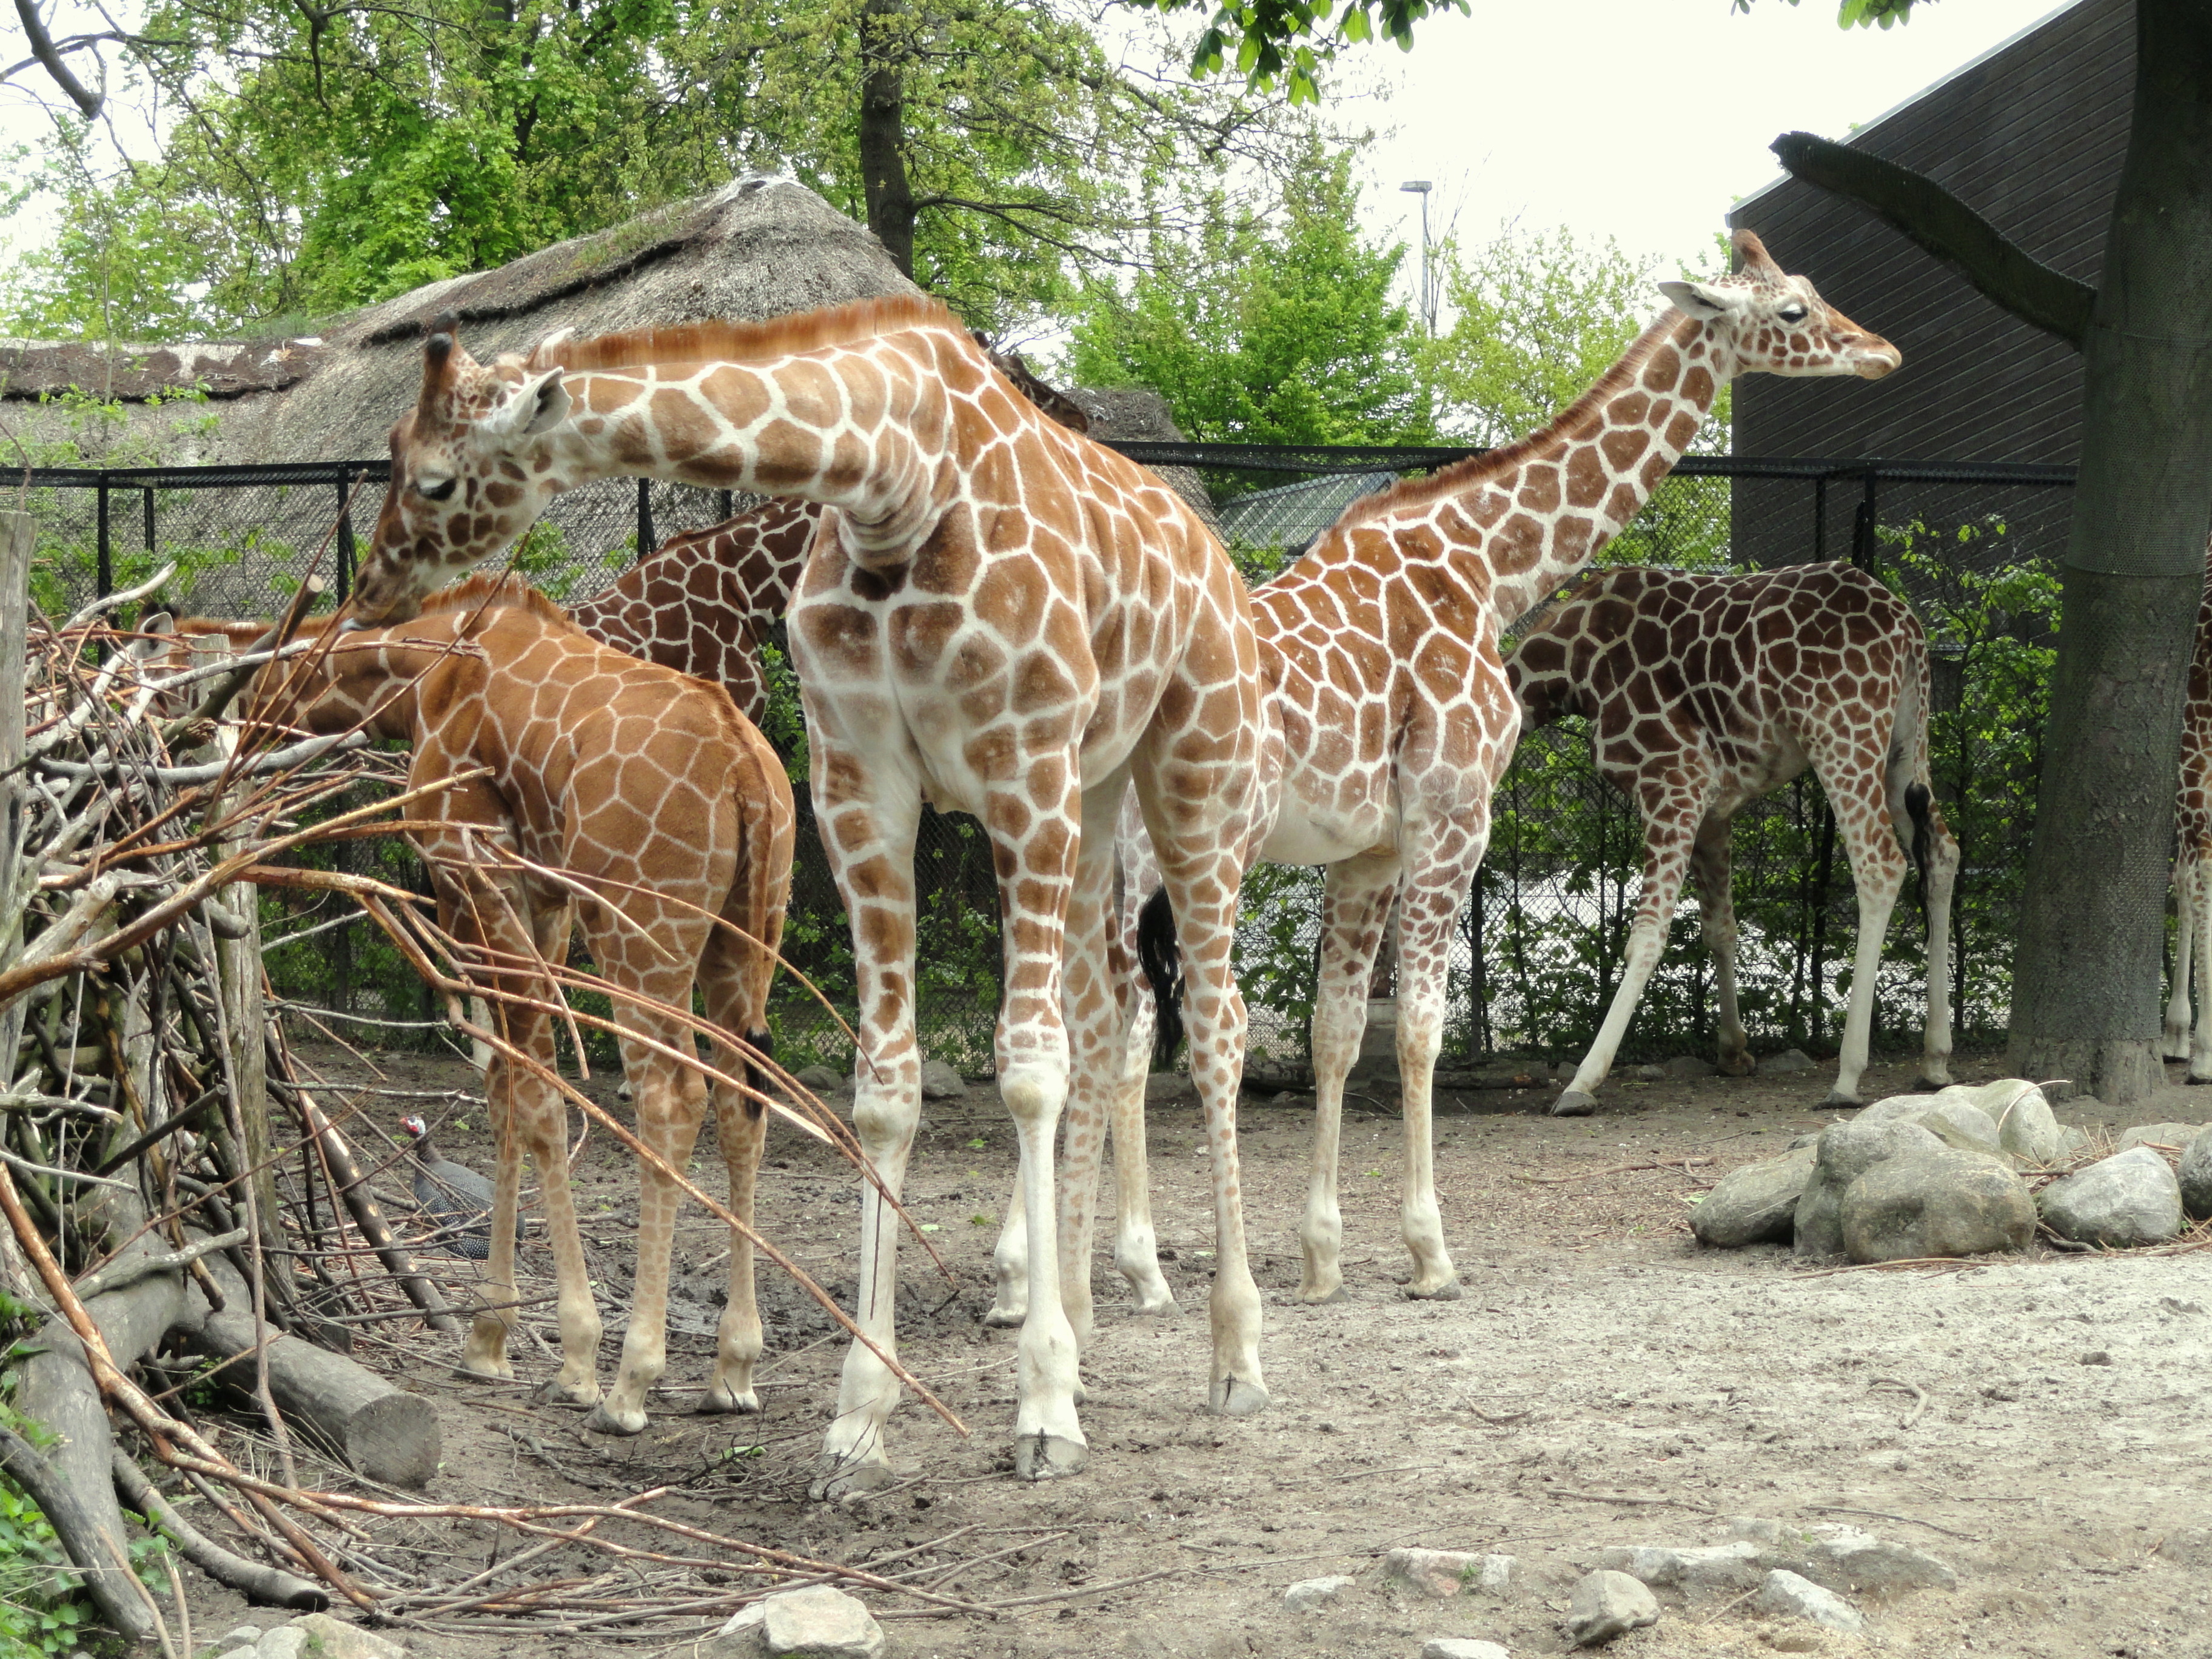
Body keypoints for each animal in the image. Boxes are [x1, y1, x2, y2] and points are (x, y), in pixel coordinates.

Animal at [349, 296, 1282, 1495]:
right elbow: (885, 1088)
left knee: (1212, 1023)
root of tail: (1209, 545)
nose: (375, 591)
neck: (900, 480)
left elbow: (1025, 1072)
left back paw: (1233, 1358)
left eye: (430, 479)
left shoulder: (1019, 768)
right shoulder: (861, 784)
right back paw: (1078, 1318)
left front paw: (1040, 1412)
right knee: (1104, 1014)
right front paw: (860, 1420)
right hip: (1098, 786)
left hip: (1191, 764)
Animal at [1004, 234, 1902, 1327]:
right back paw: (1117, 1279)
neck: (1488, 565)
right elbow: (1424, 1031)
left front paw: (1321, 1258)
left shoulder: (1370, 850)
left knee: (1097, 1022)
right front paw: (1428, 1252)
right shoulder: (1452, 815)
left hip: (1100, 858)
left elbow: (1338, 1033)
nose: (1881, 353)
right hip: (1193, 852)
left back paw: (1072, 1278)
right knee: (1163, 1027)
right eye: (1792, 312)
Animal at [1504, 559, 1955, 1119]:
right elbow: (1720, 928)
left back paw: (1848, 1076)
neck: (1571, 668)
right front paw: (1734, 1051)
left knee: (1881, 864)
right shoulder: (1712, 809)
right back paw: (1935, 1060)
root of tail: (1907, 627)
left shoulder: (1673, 780)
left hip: (1842, 733)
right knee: (1942, 852)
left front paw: (1583, 1081)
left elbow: (1647, 934)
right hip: (1906, 743)